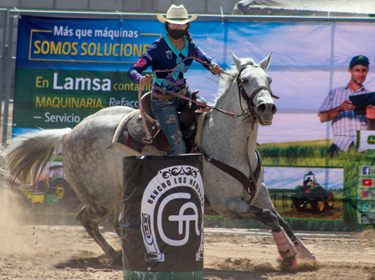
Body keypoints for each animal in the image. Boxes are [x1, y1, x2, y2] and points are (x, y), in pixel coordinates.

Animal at [2, 52, 318, 270]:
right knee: (87, 220)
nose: (267, 108)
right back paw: (116, 255)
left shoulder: (259, 192)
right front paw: (287, 256)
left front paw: (305, 255)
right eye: (245, 80)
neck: (231, 144)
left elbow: (281, 219)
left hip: (118, 192)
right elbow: (269, 218)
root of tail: (69, 134)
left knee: (115, 223)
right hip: (99, 197)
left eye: (269, 80)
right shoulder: (226, 203)